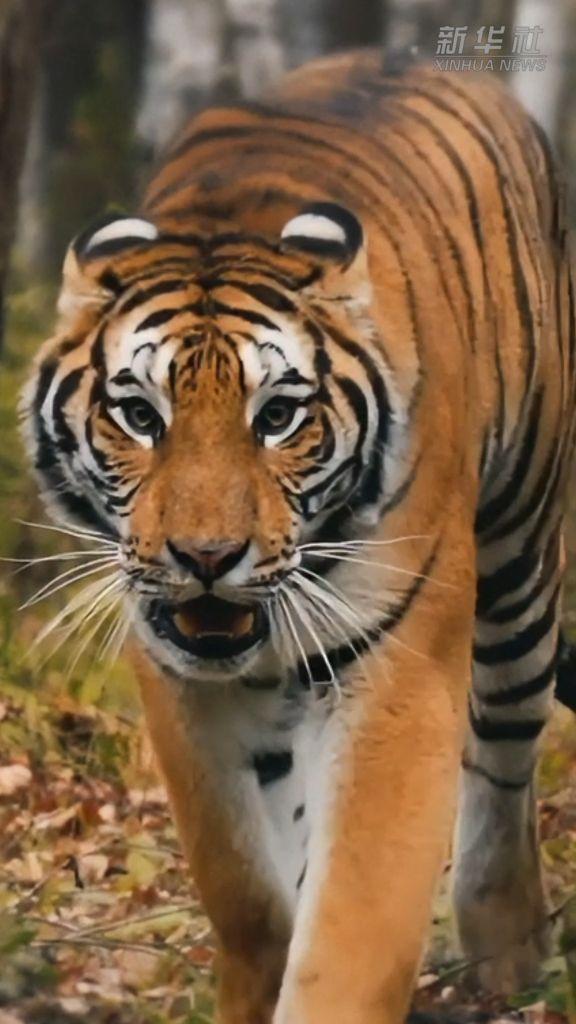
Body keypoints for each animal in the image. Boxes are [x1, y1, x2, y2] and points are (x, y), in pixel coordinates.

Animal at [21, 48, 576, 1024]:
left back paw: (510, 954)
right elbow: (245, 888)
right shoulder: (181, 687)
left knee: (507, 757)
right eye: (139, 415)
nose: (207, 558)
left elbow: (353, 922)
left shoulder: (396, 673)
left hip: (520, 566)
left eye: (278, 416)